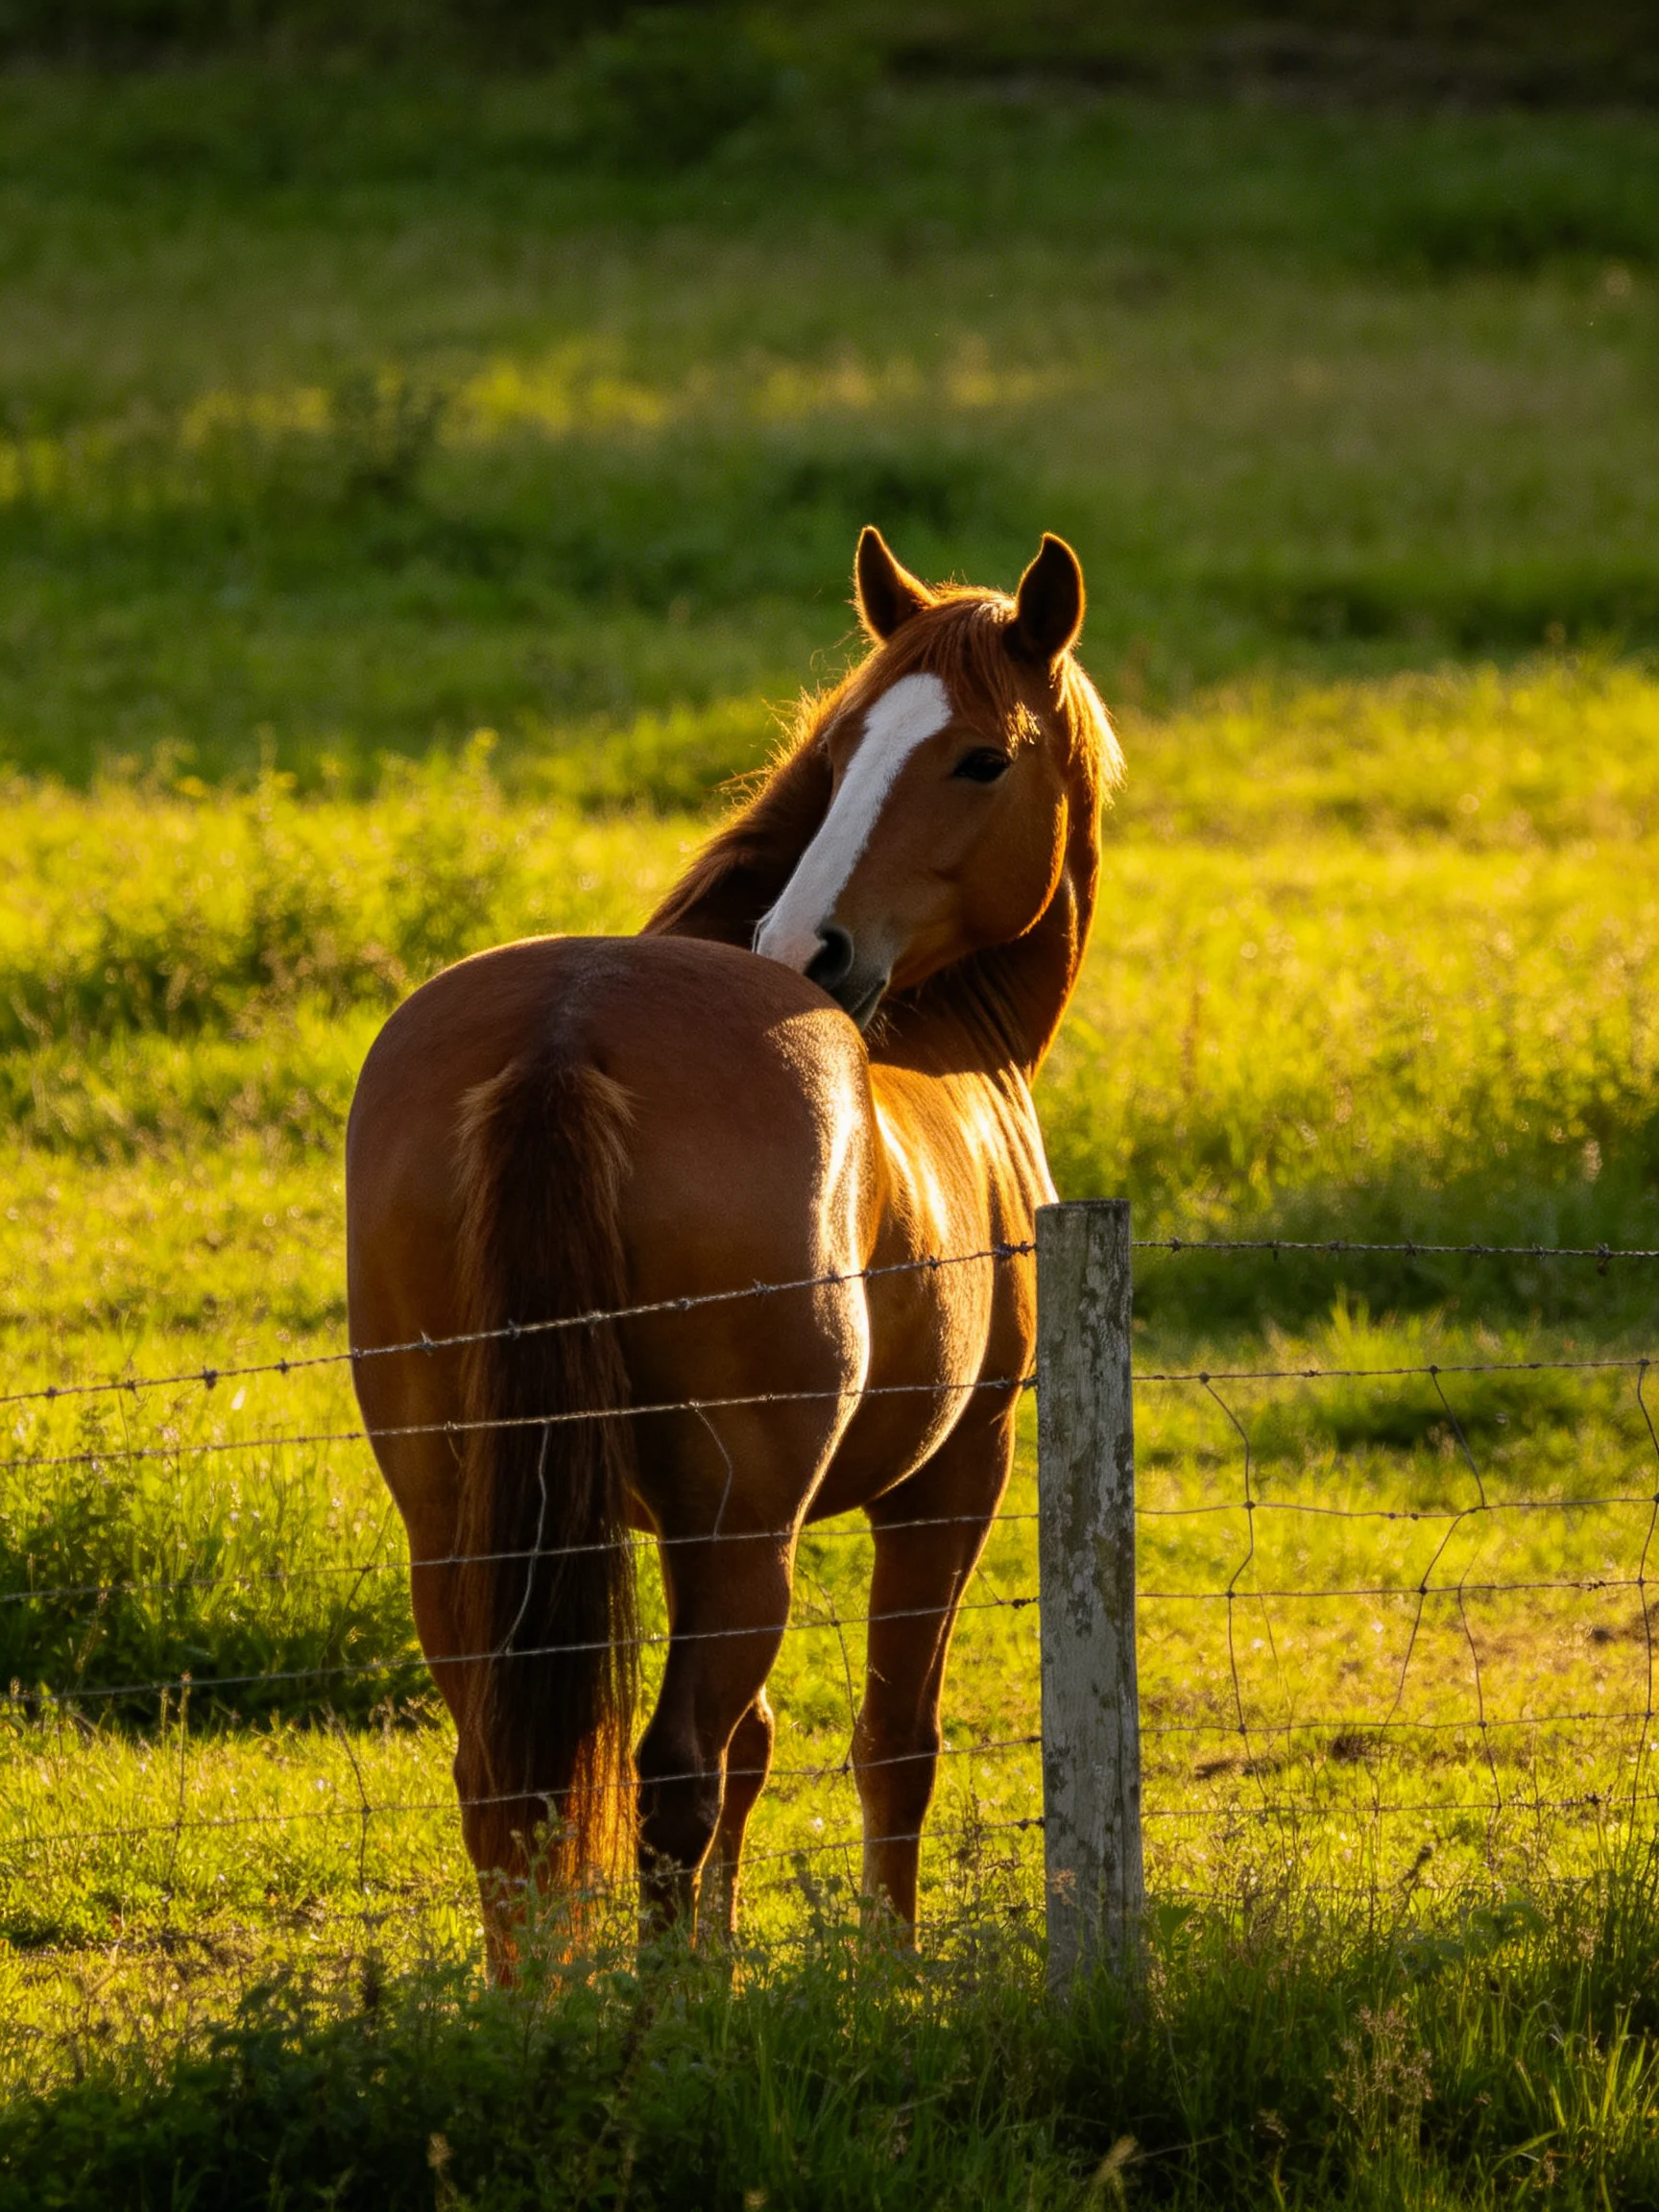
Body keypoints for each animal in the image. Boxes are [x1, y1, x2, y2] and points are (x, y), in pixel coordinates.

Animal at [344, 527, 1121, 1968]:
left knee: (507, 1779)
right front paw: (884, 1968)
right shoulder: (953, 1478)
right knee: (671, 1772)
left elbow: (759, 1751)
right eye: (851, 743)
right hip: (741, 1524)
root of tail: (564, 1036)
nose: (810, 947)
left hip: (461, 1518)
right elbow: (892, 1745)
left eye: (978, 757)